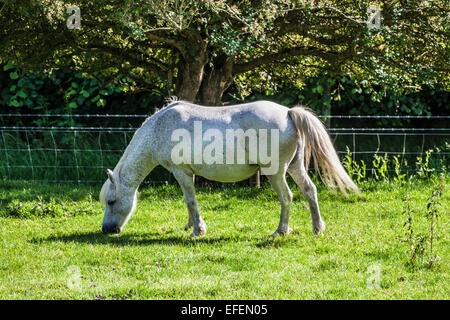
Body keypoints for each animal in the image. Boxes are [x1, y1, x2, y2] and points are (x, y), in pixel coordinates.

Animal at [99, 100, 358, 238]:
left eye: (111, 201)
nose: (106, 230)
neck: (161, 127)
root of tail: (288, 113)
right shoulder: (187, 174)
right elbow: (188, 201)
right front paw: (190, 225)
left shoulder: (181, 172)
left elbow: (190, 200)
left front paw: (197, 231)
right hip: (295, 168)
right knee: (309, 191)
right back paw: (317, 227)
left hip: (275, 173)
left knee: (287, 197)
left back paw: (280, 231)